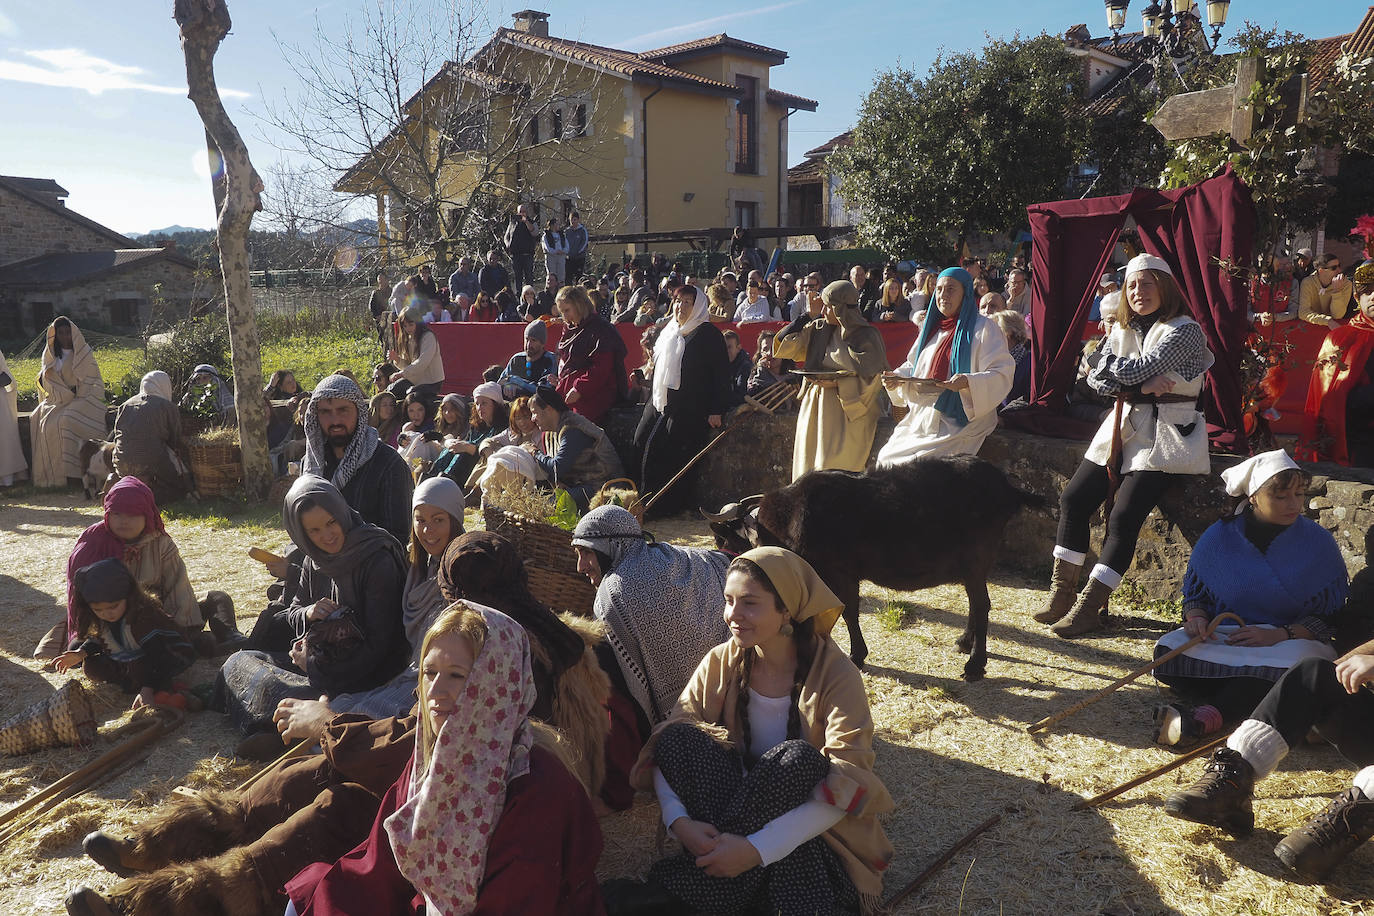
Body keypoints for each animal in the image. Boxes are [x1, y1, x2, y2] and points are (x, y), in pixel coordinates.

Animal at [703, 458, 1033, 681]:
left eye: (727, 539)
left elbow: (848, 611)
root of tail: (1008, 490)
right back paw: (963, 643)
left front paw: (856, 655)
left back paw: (975, 666)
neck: (794, 517)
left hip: (976, 561)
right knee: (976, 605)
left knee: (982, 605)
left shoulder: (840, 573)